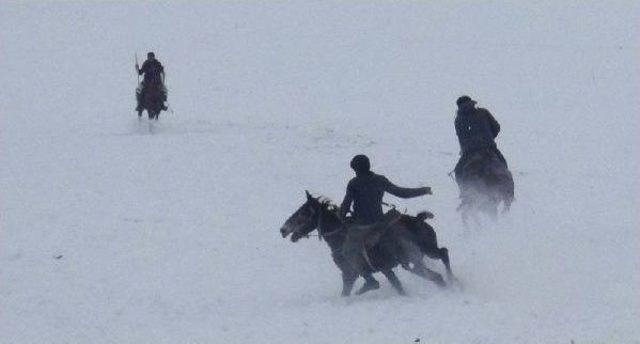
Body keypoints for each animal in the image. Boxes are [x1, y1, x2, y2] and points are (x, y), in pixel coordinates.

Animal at [282, 191, 456, 296]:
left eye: (303, 213)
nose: (283, 229)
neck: (339, 237)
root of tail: (418, 220)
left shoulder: (350, 273)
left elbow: (350, 291)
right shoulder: (386, 270)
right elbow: (398, 287)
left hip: (414, 261)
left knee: (437, 274)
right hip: (425, 252)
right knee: (443, 255)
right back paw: (455, 282)